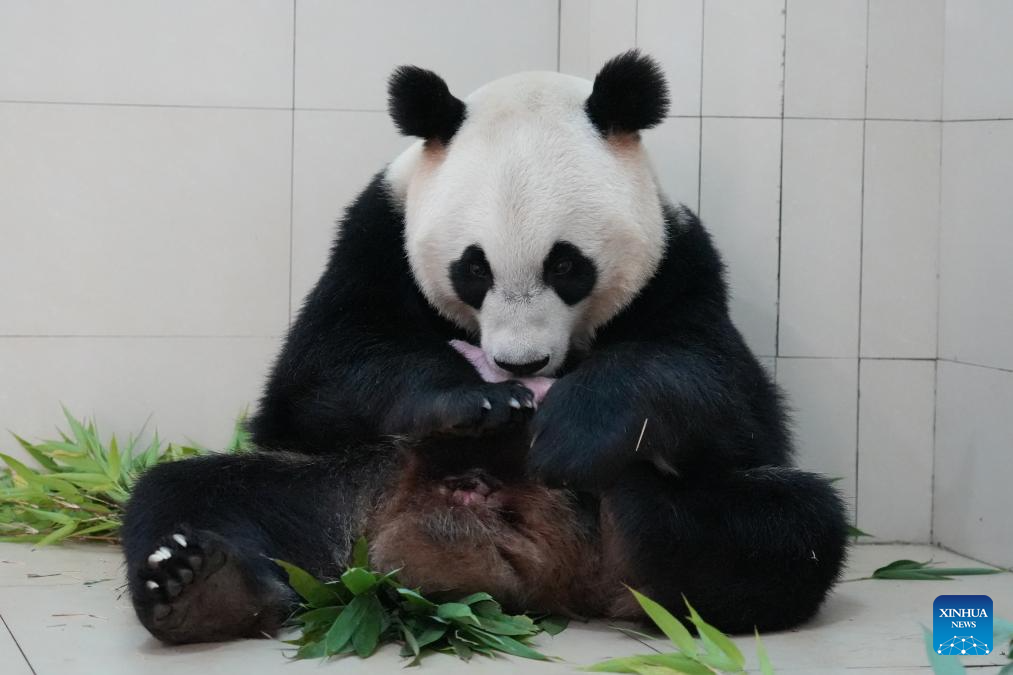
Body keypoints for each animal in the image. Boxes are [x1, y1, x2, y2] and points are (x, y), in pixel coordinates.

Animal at [121, 51, 848, 645]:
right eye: (473, 269)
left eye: (567, 266)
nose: (520, 365)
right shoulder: (374, 235)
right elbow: (322, 372)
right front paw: (476, 400)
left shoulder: (680, 263)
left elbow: (719, 391)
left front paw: (572, 432)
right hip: (335, 486)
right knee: (191, 493)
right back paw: (202, 588)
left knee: (785, 526)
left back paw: (634, 522)